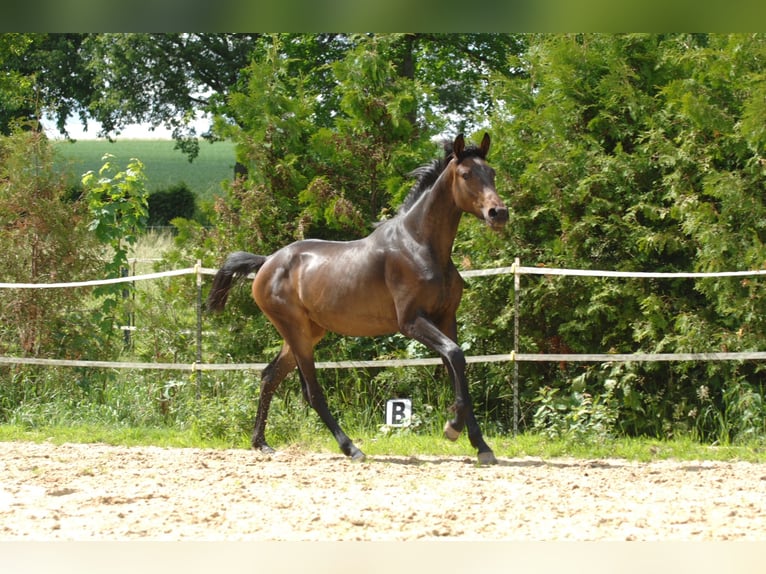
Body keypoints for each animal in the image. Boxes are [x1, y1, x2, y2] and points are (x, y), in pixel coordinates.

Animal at [208, 133, 510, 466]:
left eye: (492, 172)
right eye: (466, 174)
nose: (498, 214)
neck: (419, 245)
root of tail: (266, 262)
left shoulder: (445, 318)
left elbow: (457, 367)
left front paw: (481, 445)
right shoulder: (411, 322)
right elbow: (456, 356)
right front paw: (452, 428)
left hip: (306, 333)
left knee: (269, 377)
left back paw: (260, 443)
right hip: (296, 333)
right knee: (311, 392)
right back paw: (351, 448)